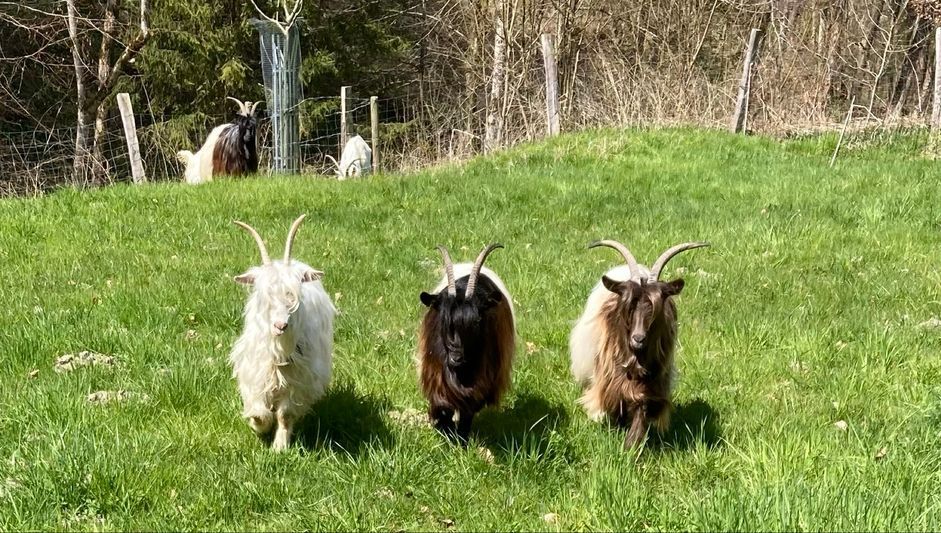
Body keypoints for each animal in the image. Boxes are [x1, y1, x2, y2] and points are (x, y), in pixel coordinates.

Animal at [228, 214, 335, 452]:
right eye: (264, 294)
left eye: (292, 294)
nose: (280, 325)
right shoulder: (256, 372)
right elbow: (259, 412)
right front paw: (259, 427)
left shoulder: (298, 380)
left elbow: (285, 415)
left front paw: (279, 447)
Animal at [417, 244, 516, 444]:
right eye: (444, 320)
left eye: (476, 322)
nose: (456, 358)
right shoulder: (437, 377)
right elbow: (443, 407)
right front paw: (445, 432)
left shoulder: (481, 383)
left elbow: (467, 412)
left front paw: (460, 441)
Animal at [569, 239, 708, 449]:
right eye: (630, 307)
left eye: (654, 308)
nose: (638, 338)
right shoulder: (610, 381)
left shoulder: (650, 387)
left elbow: (640, 412)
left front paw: (631, 446)